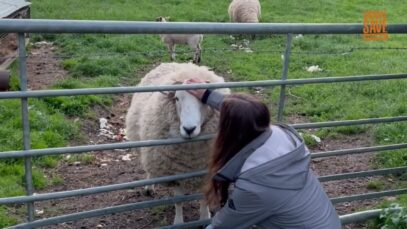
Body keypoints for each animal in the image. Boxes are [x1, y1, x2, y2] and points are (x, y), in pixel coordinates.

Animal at [125, 62, 230, 224]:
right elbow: (178, 200)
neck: (191, 159)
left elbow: (204, 199)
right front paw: (179, 222)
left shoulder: (205, 172)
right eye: (177, 98)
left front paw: (204, 217)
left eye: (203, 100)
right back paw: (149, 186)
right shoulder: (174, 172)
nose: (189, 129)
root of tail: (173, 63)